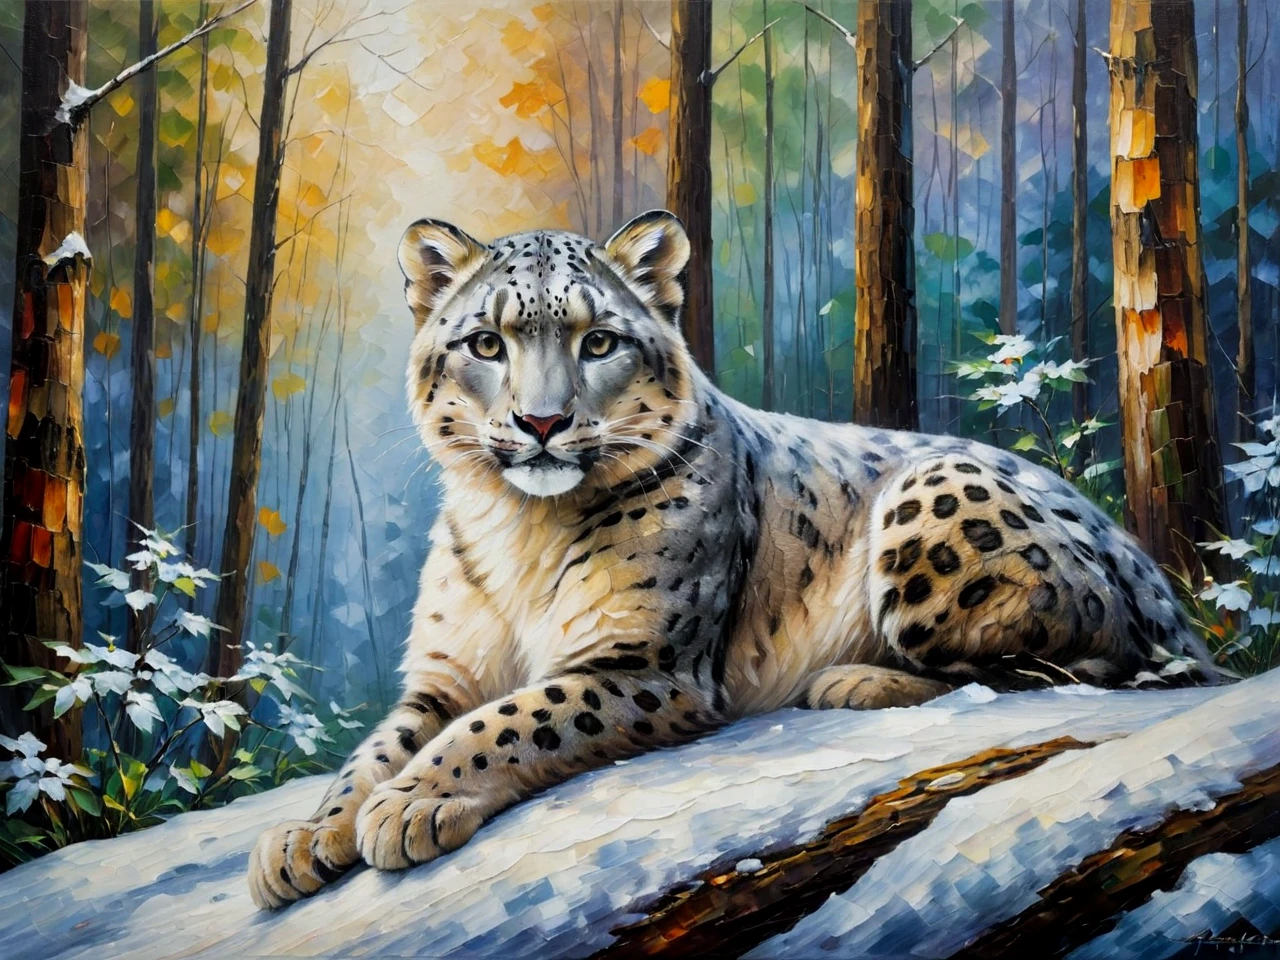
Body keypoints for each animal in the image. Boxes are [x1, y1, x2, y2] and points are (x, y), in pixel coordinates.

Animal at [247, 210, 1222, 909]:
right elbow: (380, 745)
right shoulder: (443, 675)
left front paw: (409, 804)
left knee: (1066, 665)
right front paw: (307, 835)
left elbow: (510, 720)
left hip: (937, 508)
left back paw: (854, 679)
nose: (542, 422)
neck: (516, 524)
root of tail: (1143, 562)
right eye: (486, 343)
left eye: (598, 341)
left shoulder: (643, 662)